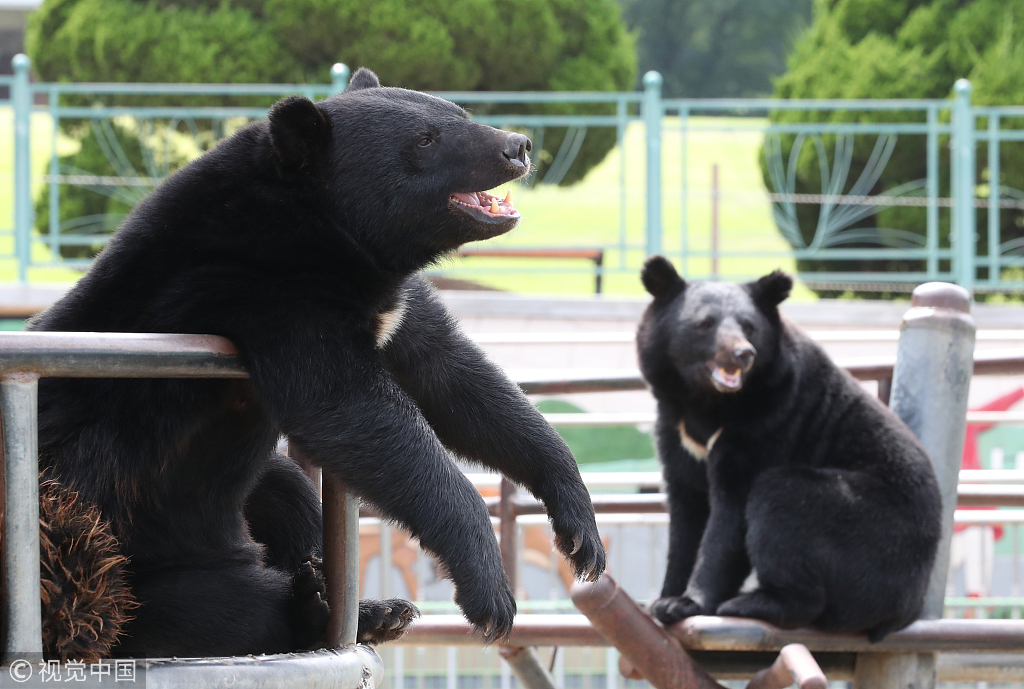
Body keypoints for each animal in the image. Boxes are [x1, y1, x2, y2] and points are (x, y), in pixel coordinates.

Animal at [28, 68, 602, 655]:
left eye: (459, 113)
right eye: (425, 139)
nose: (517, 146)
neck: (321, 226)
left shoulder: (386, 302)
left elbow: (454, 377)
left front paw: (580, 528)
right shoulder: (270, 291)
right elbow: (352, 407)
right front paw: (489, 591)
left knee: (289, 493)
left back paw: (361, 605)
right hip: (111, 544)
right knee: (208, 605)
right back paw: (321, 607)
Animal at [638, 256, 942, 638]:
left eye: (749, 326)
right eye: (704, 324)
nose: (742, 354)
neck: (708, 402)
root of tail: (908, 609)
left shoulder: (768, 423)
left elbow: (730, 513)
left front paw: (686, 603)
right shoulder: (676, 432)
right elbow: (685, 514)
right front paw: (660, 599)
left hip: (865, 526)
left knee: (782, 502)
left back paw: (750, 603)